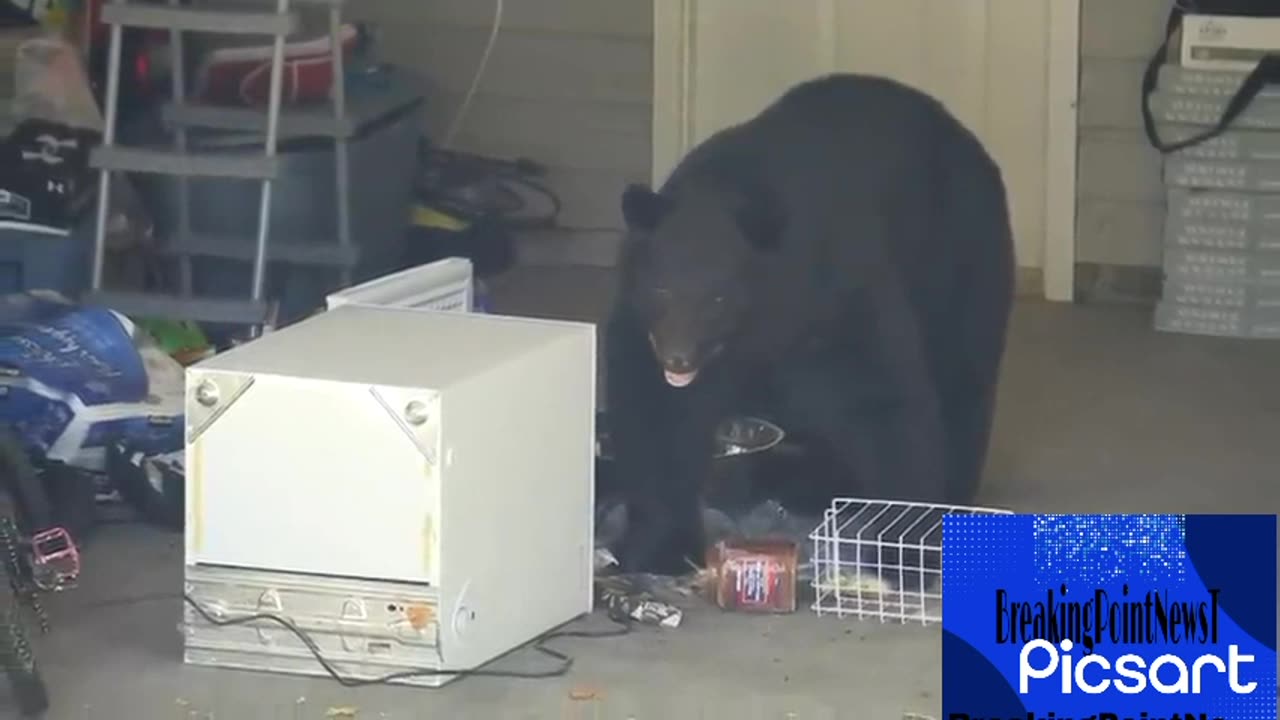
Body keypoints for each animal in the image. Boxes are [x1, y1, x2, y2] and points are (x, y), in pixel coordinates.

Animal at [604, 73, 1013, 573]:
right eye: (661, 290)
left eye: (718, 297)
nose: (678, 357)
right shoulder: (641, 321)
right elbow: (656, 411)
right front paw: (658, 545)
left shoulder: (836, 290)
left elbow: (883, 398)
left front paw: (904, 545)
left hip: (961, 258)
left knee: (962, 379)